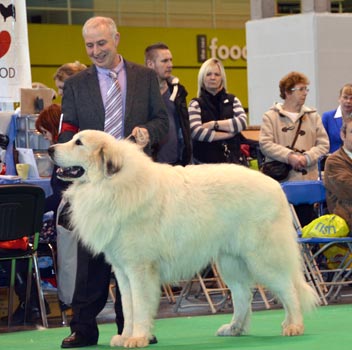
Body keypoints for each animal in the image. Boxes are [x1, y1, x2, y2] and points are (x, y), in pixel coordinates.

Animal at [48, 131, 320, 348]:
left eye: (78, 143)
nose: (50, 150)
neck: (112, 184)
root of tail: (276, 186)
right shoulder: (123, 272)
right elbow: (128, 306)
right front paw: (125, 336)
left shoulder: (139, 269)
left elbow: (140, 305)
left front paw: (137, 338)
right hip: (230, 262)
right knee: (243, 295)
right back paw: (234, 329)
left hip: (262, 258)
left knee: (288, 289)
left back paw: (294, 325)